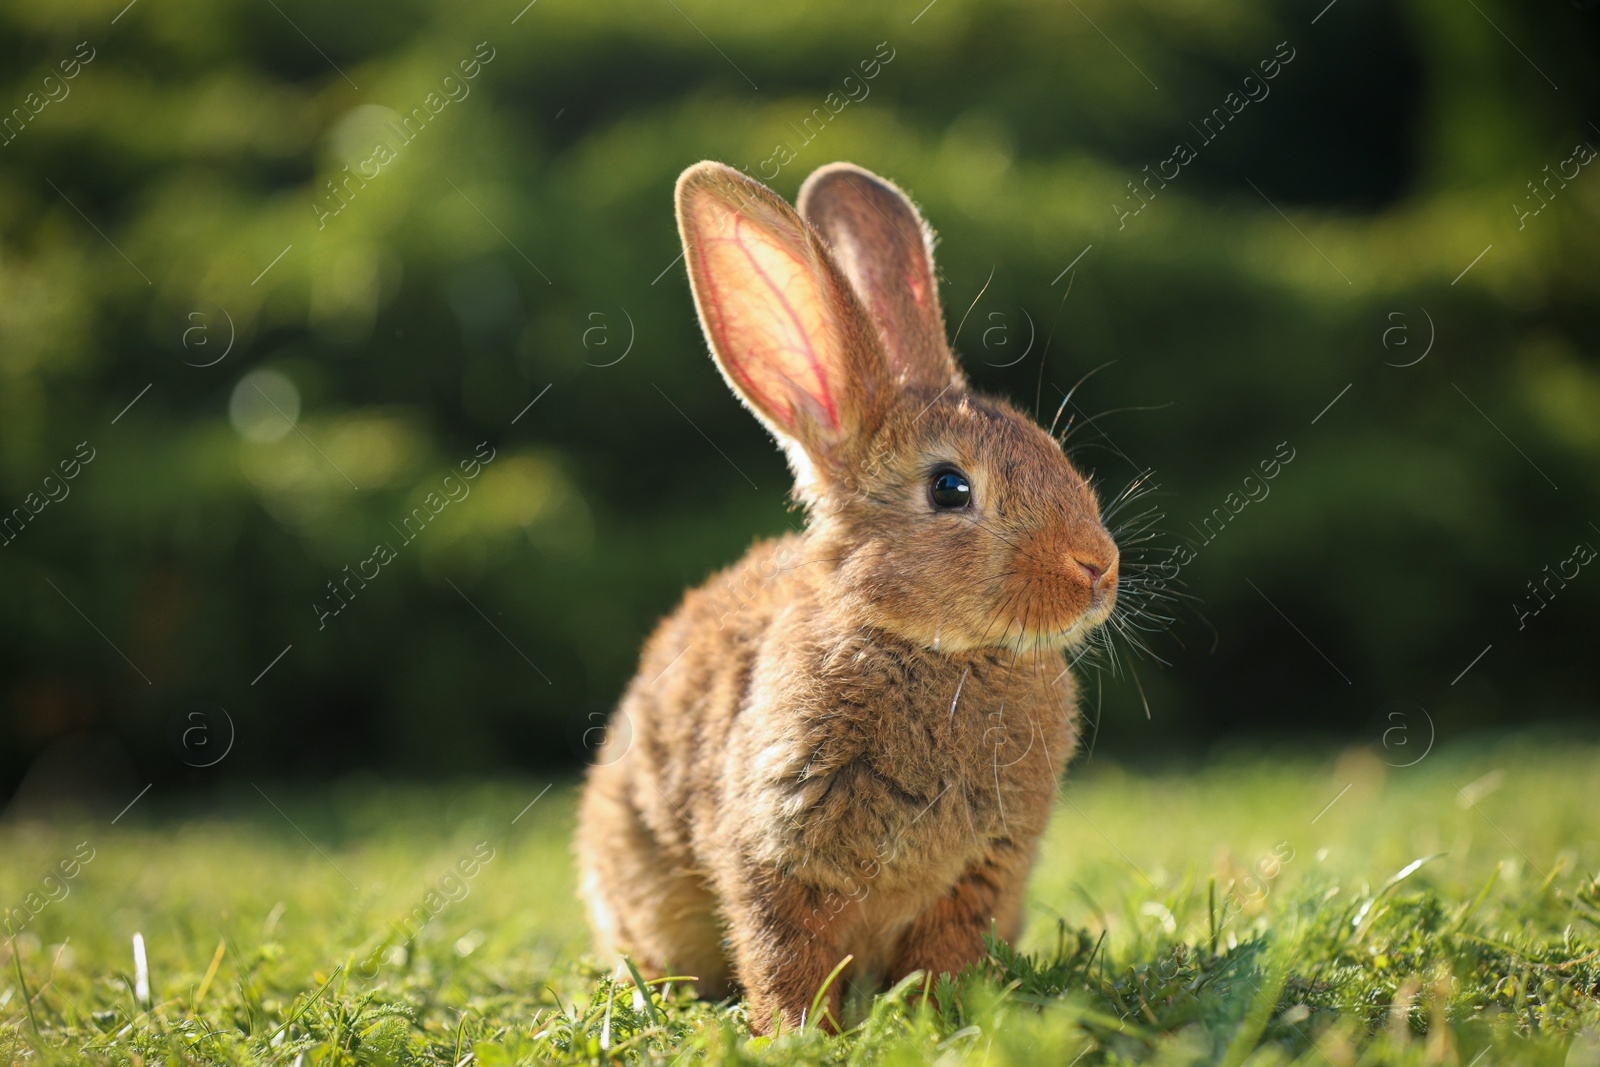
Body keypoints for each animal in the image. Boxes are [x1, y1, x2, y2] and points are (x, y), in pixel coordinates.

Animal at [579, 158, 1126, 1036]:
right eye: (949, 488)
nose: (1097, 567)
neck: (929, 645)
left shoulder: (981, 874)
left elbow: (944, 956)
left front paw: (943, 1022)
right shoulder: (776, 852)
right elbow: (785, 957)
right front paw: (797, 1037)